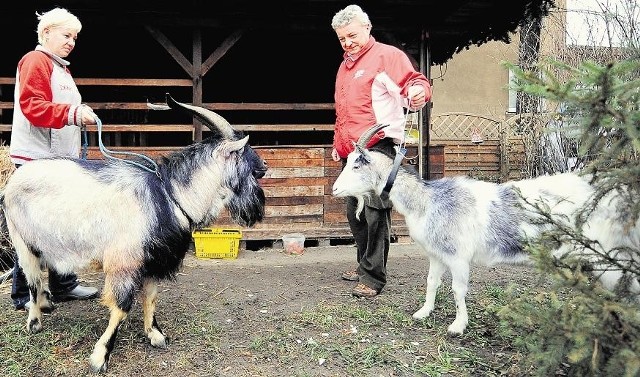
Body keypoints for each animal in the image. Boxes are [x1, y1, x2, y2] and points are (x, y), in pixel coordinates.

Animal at [0, 93, 264, 370]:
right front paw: (101, 356)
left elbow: (150, 297)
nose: (265, 166)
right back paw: (34, 321)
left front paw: (155, 334)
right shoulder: (124, 263)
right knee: (31, 279)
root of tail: (11, 184)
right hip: (23, 242)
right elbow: (122, 307)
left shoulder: (152, 260)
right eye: (251, 163)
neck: (170, 195)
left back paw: (46, 302)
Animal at [332, 123, 636, 334]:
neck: (427, 200)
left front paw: (457, 326)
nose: (334, 189)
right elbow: (431, 282)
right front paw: (423, 312)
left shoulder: (458, 256)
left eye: (357, 164)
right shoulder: (436, 254)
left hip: (609, 256)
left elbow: (458, 290)